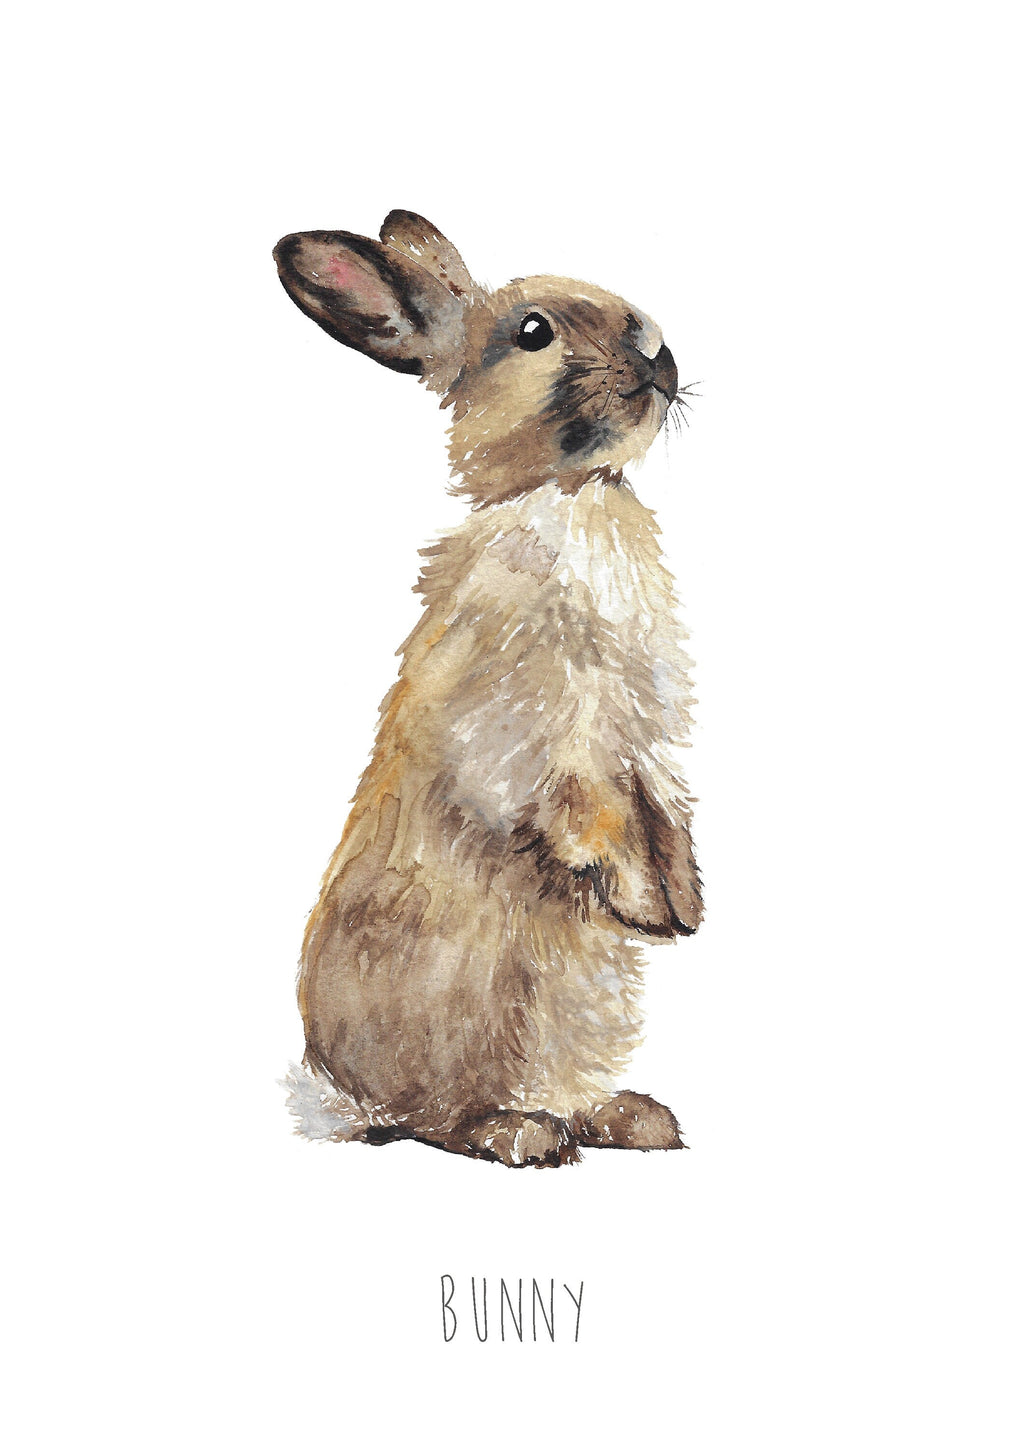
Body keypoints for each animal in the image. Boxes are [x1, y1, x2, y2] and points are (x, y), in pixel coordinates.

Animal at [276, 210, 702, 1167]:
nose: (657, 350)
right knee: (434, 1120)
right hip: (468, 994)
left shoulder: (647, 735)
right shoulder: (539, 728)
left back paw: (633, 1119)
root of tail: (338, 1092)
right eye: (533, 332)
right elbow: (588, 812)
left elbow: (664, 808)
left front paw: (685, 906)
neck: (573, 492)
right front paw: (636, 899)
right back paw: (522, 1134)